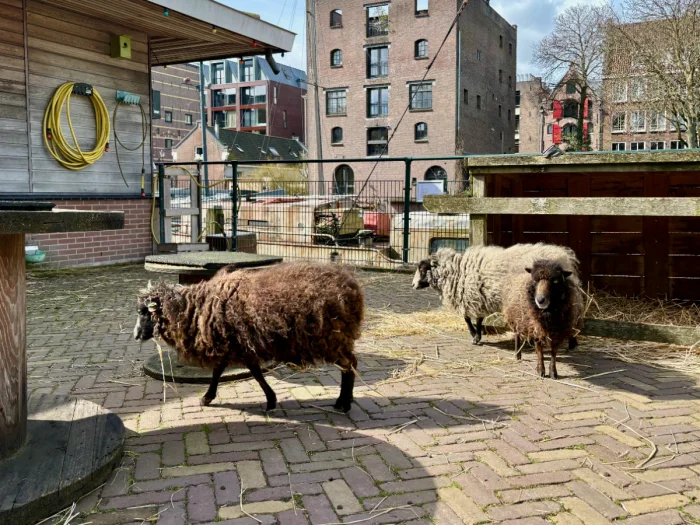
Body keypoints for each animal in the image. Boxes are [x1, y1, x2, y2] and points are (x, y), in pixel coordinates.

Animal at [133, 262, 365, 412]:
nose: (135, 335)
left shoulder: (237, 344)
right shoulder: (235, 345)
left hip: (332, 340)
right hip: (336, 340)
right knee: (350, 365)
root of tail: (351, 285)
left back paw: (344, 404)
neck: (195, 308)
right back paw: (345, 400)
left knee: (350, 365)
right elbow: (230, 371)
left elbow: (251, 373)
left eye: (144, 312)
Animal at [412, 243, 581, 347]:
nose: (413, 285)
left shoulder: (470, 298)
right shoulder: (479, 299)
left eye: (422, 269)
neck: (457, 270)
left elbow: (468, 319)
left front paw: (475, 337)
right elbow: (478, 320)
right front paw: (478, 336)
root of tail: (565, 257)